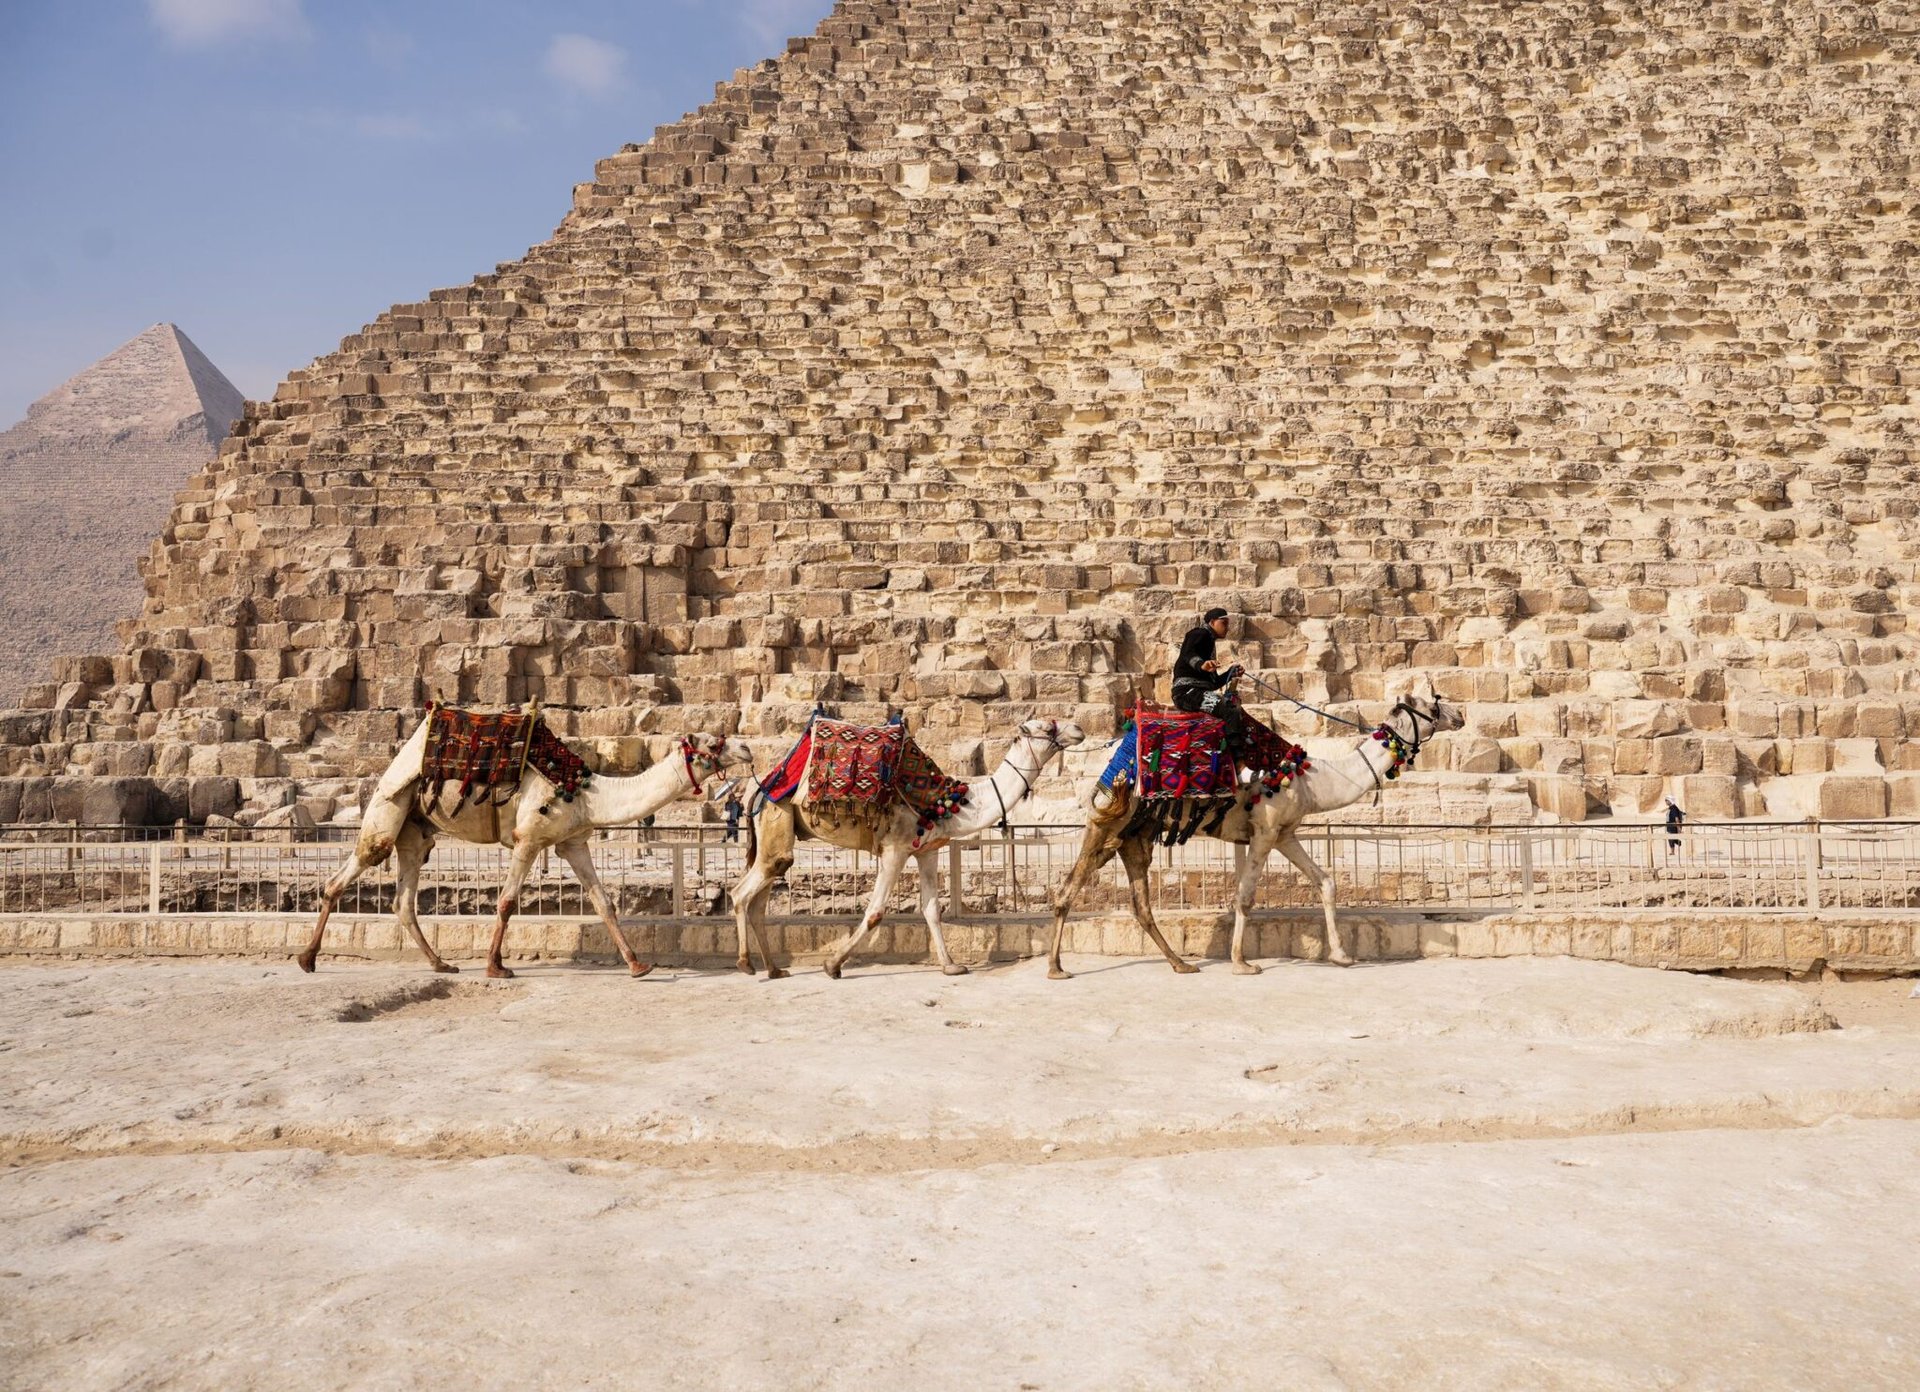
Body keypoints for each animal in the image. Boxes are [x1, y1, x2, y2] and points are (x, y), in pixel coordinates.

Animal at [298, 717, 752, 979]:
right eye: (712, 743)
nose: (747, 748)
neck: (586, 793)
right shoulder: (529, 837)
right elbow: (506, 901)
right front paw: (496, 967)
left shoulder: (573, 842)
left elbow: (604, 902)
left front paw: (638, 965)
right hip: (389, 805)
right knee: (351, 869)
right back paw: (308, 958)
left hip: (417, 829)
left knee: (403, 900)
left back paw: (441, 963)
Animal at [731, 718, 1087, 979]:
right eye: (1047, 727)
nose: (1078, 729)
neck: (949, 803)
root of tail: (756, 789)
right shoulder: (895, 849)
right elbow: (875, 911)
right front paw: (832, 965)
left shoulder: (927, 850)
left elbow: (931, 909)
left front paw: (951, 966)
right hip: (777, 815)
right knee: (743, 892)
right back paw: (746, 964)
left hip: (776, 831)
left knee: (761, 894)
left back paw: (774, 970)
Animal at [1047, 680, 1463, 978]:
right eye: (1432, 706)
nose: (1459, 715)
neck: (1310, 778)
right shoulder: (1264, 830)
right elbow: (1244, 897)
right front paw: (1242, 963)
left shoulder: (1285, 833)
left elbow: (1325, 881)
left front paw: (1342, 955)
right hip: (1109, 822)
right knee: (1069, 889)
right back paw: (1056, 968)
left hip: (1133, 835)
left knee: (1139, 904)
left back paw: (1181, 963)